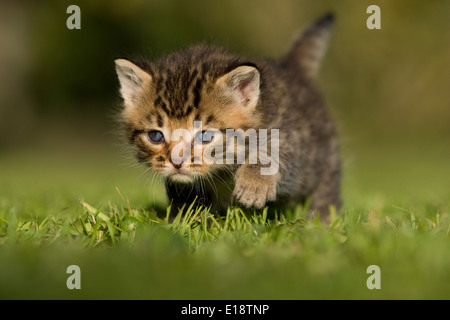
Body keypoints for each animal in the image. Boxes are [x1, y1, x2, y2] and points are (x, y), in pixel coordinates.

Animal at [115, 13, 342, 221]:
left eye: (205, 136)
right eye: (155, 136)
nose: (177, 162)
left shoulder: (290, 134)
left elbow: (275, 153)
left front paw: (254, 183)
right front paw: (184, 220)